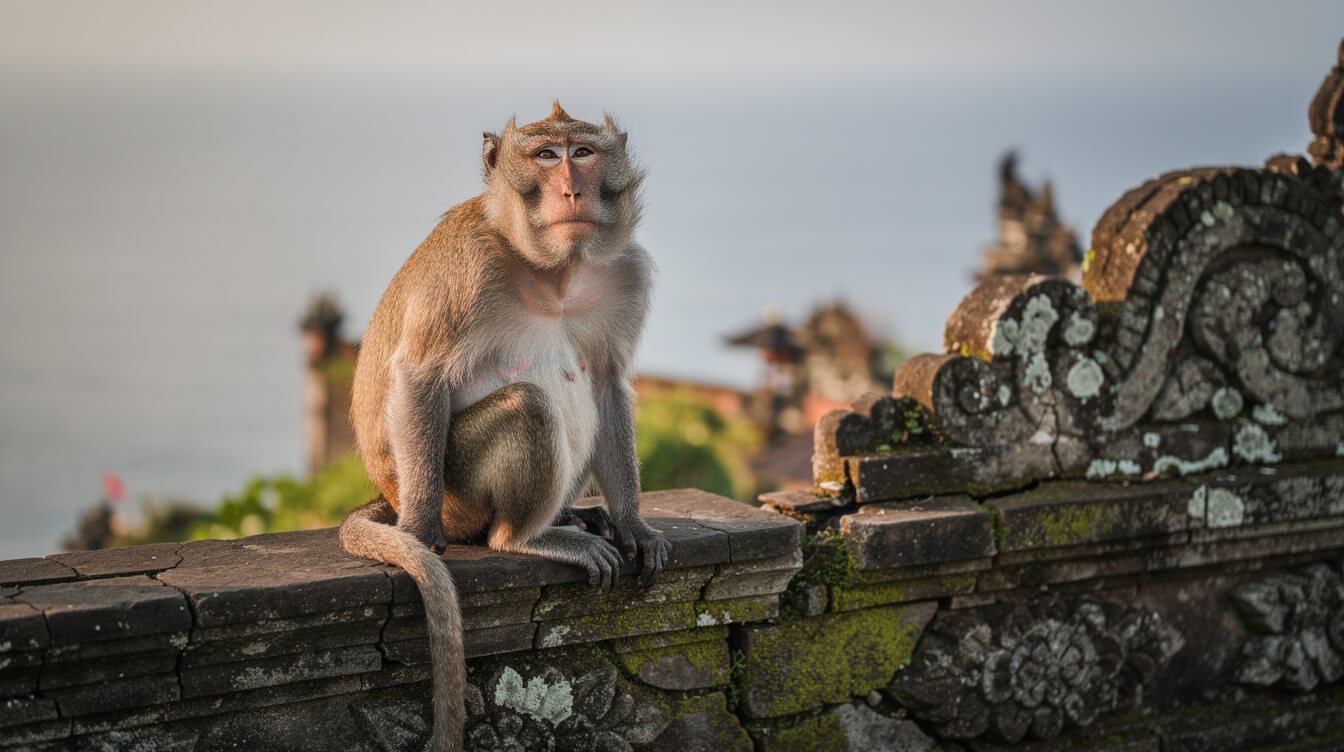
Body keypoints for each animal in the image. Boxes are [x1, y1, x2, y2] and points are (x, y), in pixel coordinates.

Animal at [338, 102, 671, 752]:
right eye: (545, 156)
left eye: (582, 153)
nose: (571, 188)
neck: (555, 271)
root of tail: (387, 488)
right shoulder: (466, 268)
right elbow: (419, 373)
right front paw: (419, 531)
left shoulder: (626, 272)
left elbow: (606, 384)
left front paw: (633, 522)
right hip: (458, 494)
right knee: (528, 408)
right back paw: (524, 535)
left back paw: (574, 516)